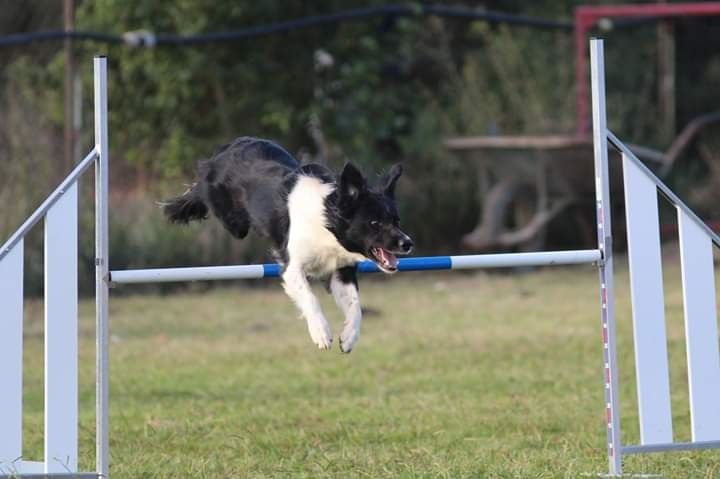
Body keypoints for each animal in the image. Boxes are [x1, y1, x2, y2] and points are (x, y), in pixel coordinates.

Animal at [162, 137, 410, 350]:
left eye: (397, 221)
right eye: (374, 222)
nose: (407, 243)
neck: (326, 223)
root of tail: (230, 146)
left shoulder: (341, 269)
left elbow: (355, 305)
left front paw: (349, 337)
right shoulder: (292, 267)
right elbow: (309, 297)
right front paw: (321, 333)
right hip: (234, 221)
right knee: (202, 190)